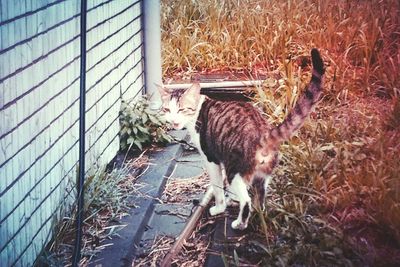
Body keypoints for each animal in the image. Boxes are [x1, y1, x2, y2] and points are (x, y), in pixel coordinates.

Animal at [157, 48, 324, 230]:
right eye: (167, 109)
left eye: (181, 109)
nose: (173, 121)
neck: (197, 111)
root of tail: (263, 133)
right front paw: (231, 200)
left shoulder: (212, 160)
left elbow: (218, 188)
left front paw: (219, 207)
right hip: (262, 174)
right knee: (259, 197)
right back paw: (258, 214)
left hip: (234, 170)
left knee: (247, 200)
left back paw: (240, 223)